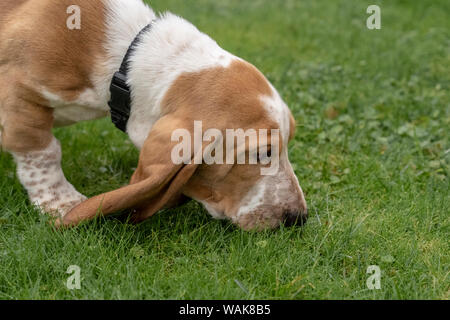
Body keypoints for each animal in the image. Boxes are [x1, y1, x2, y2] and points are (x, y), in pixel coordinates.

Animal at [0, 0, 308, 230]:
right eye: (262, 153)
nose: (298, 217)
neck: (126, 59)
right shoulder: (20, 94)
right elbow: (42, 151)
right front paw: (61, 202)